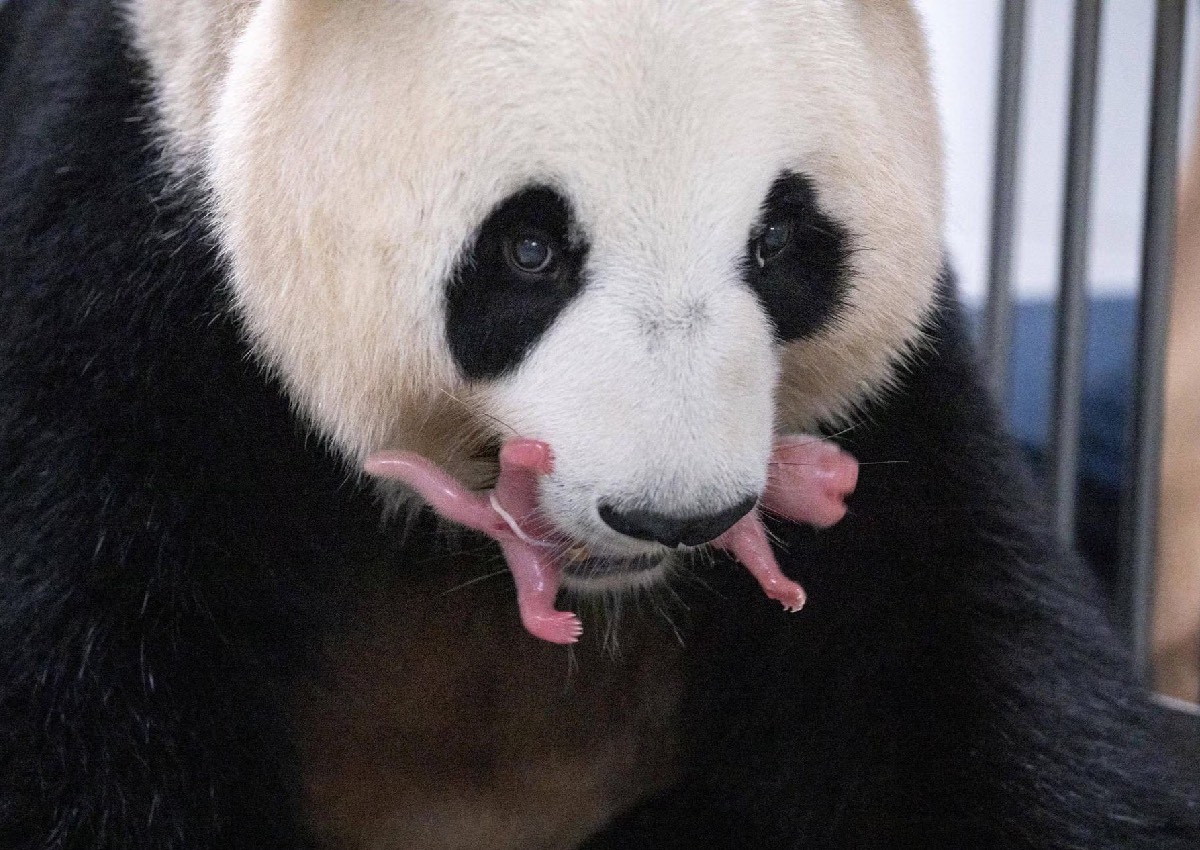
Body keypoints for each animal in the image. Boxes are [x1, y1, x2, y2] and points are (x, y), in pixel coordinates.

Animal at [1, 0, 1198, 847]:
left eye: (778, 241)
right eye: (530, 249)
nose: (677, 515)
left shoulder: (889, 418)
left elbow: (964, 661)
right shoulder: (119, 272)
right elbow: (82, 698)